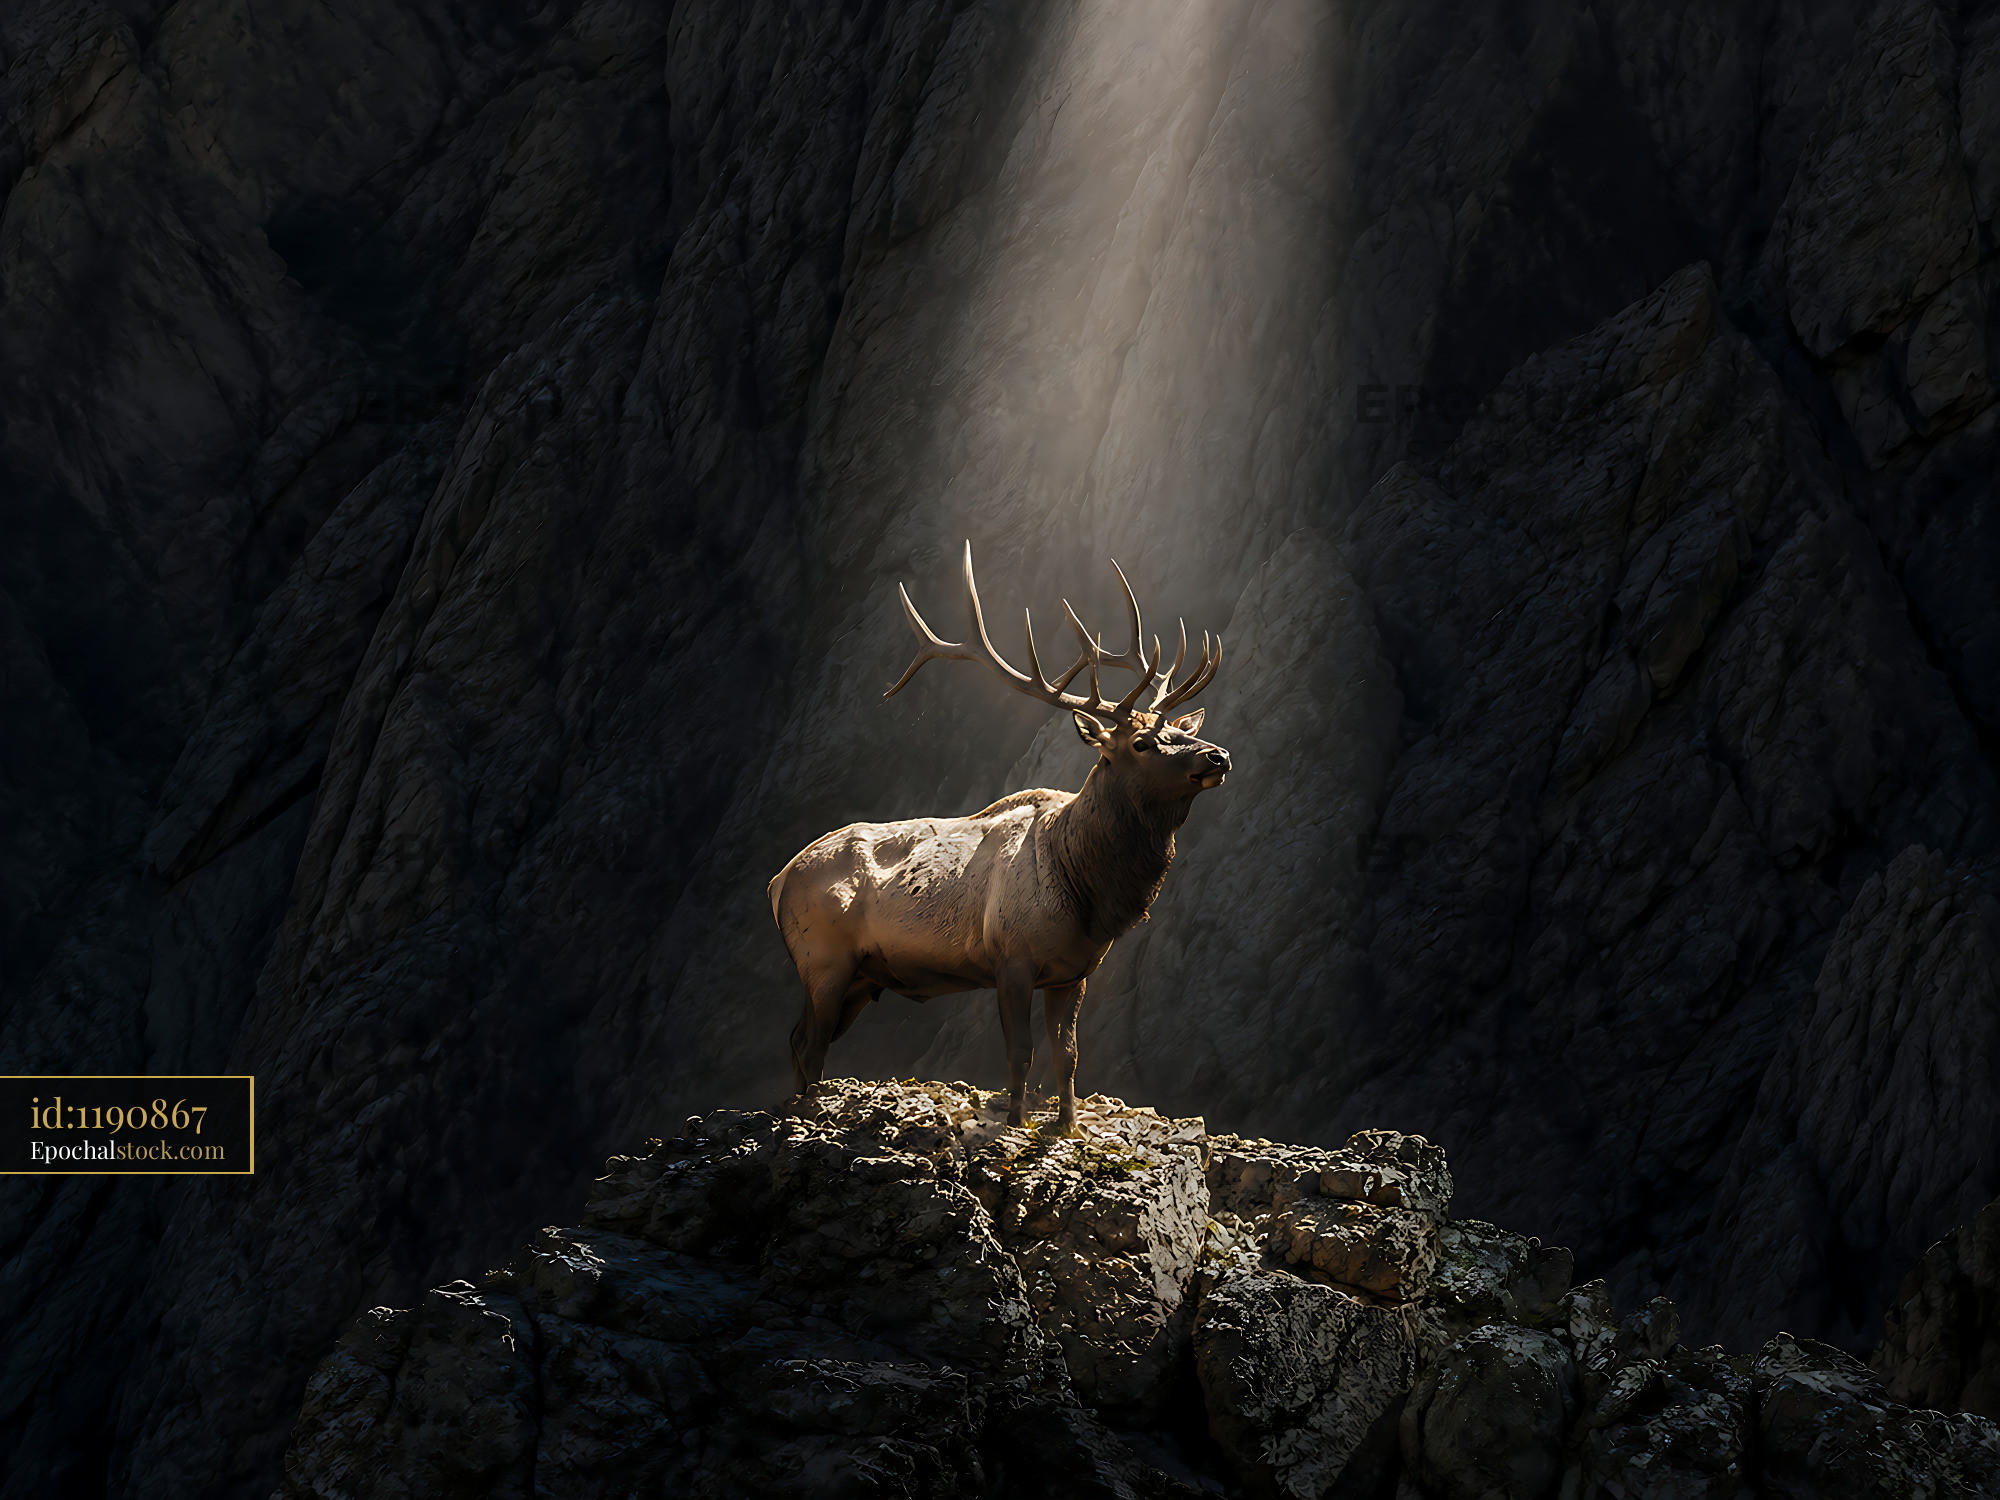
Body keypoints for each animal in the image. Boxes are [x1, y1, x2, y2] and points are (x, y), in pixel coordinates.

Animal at [768, 541, 1231, 1133]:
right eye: (1144, 742)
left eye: (1179, 729)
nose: (1217, 755)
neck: (1089, 891)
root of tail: (778, 881)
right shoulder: (1011, 956)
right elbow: (1021, 1052)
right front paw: (1014, 1122)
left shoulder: (1073, 972)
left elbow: (1068, 1055)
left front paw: (1066, 1125)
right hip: (823, 958)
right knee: (810, 1044)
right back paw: (805, 1115)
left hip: (859, 979)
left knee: (799, 1039)